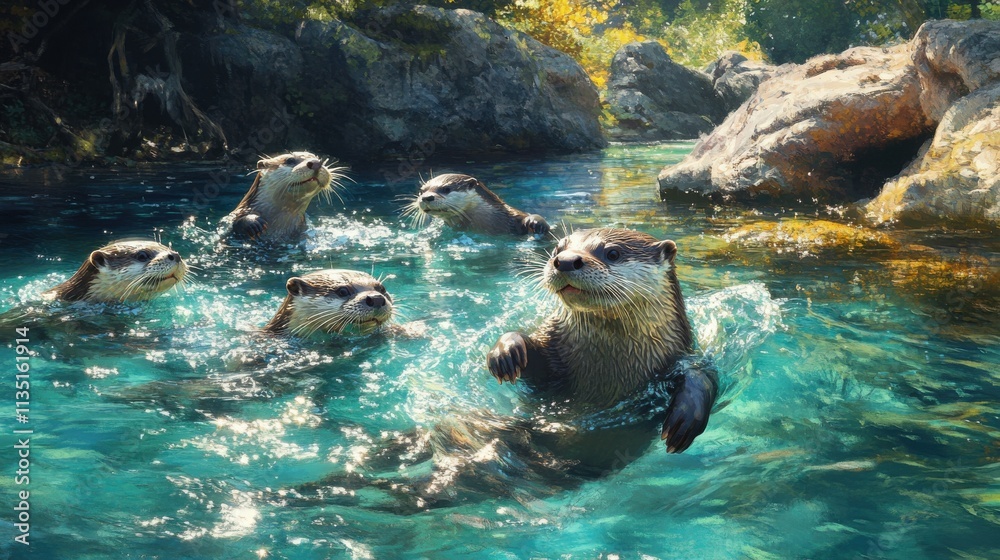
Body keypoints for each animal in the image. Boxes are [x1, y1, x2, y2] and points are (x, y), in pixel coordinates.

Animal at [487, 227, 717, 457]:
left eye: (613, 253)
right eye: (558, 249)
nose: (565, 261)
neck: (606, 363)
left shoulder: (679, 355)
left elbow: (703, 376)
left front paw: (685, 416)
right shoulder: (551, 351)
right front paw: (506, 350)